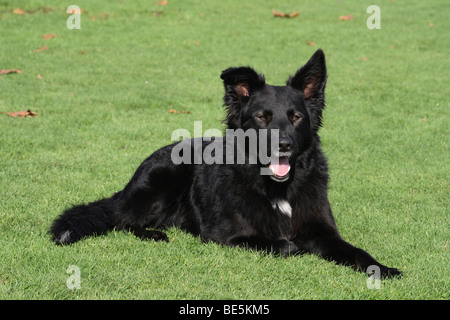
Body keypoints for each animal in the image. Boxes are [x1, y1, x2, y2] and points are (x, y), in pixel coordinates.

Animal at [51, 49, 400, 278]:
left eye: (296, 117)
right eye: (262, 117)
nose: (284, 146)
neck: (277, 189)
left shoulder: (324, 231)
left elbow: (356, 251)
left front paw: (383, 268)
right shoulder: (225, 236)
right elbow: (285, 245)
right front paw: (294, 247)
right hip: (162, 182)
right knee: (122, 221)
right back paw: (153, 234)